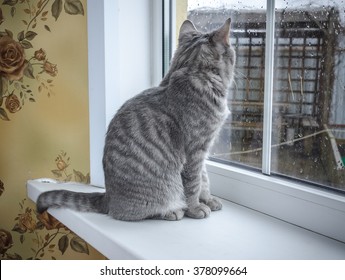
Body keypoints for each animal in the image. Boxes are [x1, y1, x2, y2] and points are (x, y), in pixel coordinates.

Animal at [37, 18, 236, 222]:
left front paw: (208, 199)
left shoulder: (203, 150)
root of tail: (108, 198)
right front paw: (195, 207)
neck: (192, 72)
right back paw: (172, 211)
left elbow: (204, 179)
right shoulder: (195, 151)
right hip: (162, 189)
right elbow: (194, 183)